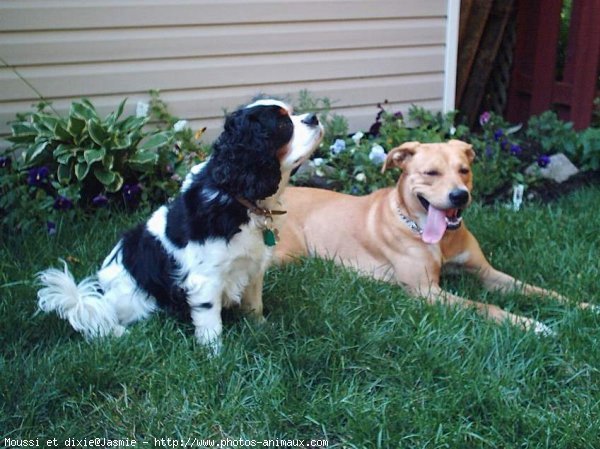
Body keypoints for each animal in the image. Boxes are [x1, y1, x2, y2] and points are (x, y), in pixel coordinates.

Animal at [37, 99, 324, 350]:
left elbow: (255, 305)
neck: (238, 197)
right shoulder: (205, 280)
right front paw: (215, 355)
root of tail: (99, 290)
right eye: (283, 124)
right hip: (138, 302)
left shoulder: (252, 268)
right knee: (106, 323)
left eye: (293, 113)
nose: (314, 117)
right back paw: (121, 335)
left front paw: (261, 329)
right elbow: (210, 324)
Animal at [276, 139, 592, 332]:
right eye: (430, 173)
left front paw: (585, 306)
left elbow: (536, 290)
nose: (459, 196)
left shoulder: (487, 273)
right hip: (290, 253)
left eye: (464, 170)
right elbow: (484, 306)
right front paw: (532, 325)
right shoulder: (427, 291)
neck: (442, 240)